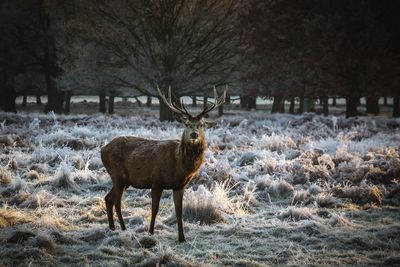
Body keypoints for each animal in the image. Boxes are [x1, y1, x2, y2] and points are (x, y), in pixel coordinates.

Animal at [100, 86, 225, 243]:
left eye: (201, 125)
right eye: (187, 124)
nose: (194, 134)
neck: (179, 167)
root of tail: (102, 149)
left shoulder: (179, 186)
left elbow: (179, 211)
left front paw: (182, 237)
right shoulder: (157, 181)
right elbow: (155, 209)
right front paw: (151, 232)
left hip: (124, 180)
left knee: (108, 198)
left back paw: (112, 227)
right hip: (117, 174)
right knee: (117, 201)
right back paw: (123, 228)